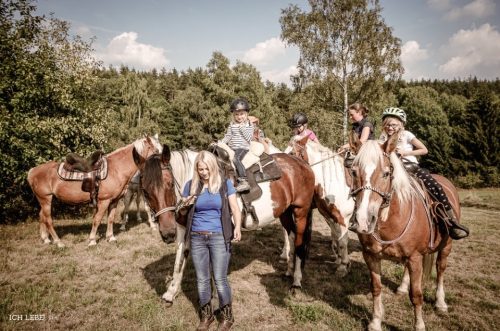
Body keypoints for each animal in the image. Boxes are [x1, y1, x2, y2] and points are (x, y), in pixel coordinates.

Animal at [26, 136, 162, 248]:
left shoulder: (114, 201)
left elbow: (110, 219)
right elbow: (97, 219)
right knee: (48, 220)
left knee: (41, 216)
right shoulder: (104, 201)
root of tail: (32, 171)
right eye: (156, 151)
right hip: (46, 199)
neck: (116, 169)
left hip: (45, 199)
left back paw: (46, 239)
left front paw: (111, 238)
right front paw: (92, 240)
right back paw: (58, 242)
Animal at [140, 145, 316, 306]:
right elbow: (179, 259)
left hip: (301, 212)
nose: (168, 233)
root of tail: (302, 163)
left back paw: (296, 282)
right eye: (145, 191)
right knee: (292, 236)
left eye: (170, 184)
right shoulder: (184, 229)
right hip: (285, 212)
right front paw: (171, 292)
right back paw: (289, 271)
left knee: (300, 243)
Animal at [286, 136, 356, 278]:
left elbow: (343, 241)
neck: (335, 181)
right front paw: (340, 260)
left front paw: (343, 266)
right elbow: (336, 238)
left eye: (292, 153)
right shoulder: (331, 217)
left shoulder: (343, 219)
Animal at [348, 135, 458, 331]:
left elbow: (416, 295)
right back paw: (402, 288)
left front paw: (419, 325)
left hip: (446, 245)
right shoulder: (371, 255)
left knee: (440, 269)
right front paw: (375, 322)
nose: (362, 221)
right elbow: (376, 287)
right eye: (353, 172)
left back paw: (441, 303)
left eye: (386, 173)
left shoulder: (415, 257)